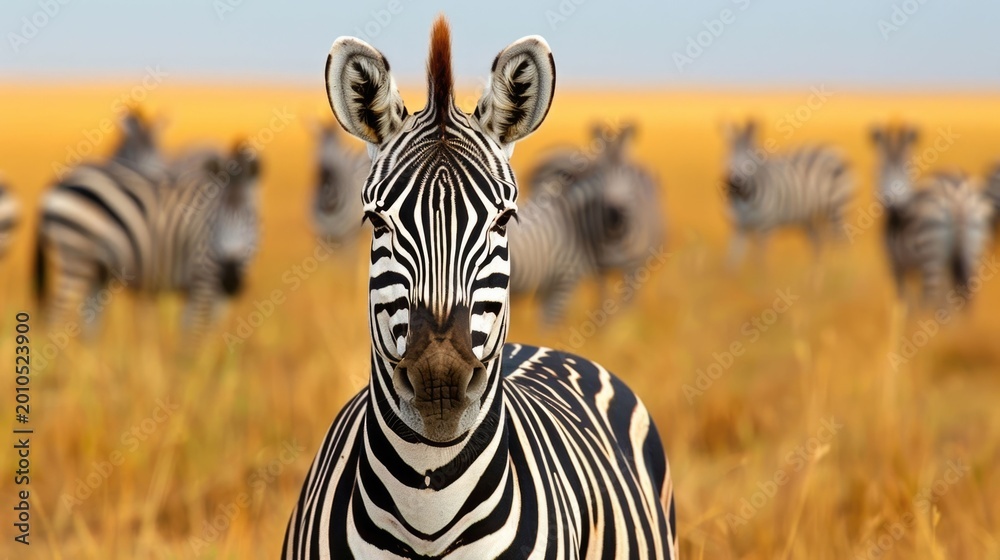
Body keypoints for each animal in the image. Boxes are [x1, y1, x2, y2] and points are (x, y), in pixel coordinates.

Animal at [35, 110, 262, 334]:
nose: (231, 280)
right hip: (75, 257)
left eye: (252, 218)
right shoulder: (197, 281)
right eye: (215, 220)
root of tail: (56, 184)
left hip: (93, 267)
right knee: (56, 317)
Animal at [509, 123, 665, 324]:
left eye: (627, 173)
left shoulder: (632, 268)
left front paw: (625, 324)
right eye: (599, 175)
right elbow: (602, 301)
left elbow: (624, 304)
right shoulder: (597, 269)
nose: (615, 214)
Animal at [723, 119, 853, 266]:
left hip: (837, 207)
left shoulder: (766, 226)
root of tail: (834, 149)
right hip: (810, 217)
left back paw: (841, 268)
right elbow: (733, 260)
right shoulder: (739, 227)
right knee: (818, 242)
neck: (745, 200)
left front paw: (760, 273)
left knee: (842, 241)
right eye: (727, 157)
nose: (733, 184)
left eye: (751, 159)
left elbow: (761, 260)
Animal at [871, 124, 993, 303]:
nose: (894, 207)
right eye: (881, 170)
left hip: (931, 252)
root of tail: (957, 195)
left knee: (930, 297)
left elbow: (902, 298)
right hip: (972, 247)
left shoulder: (895, 264)